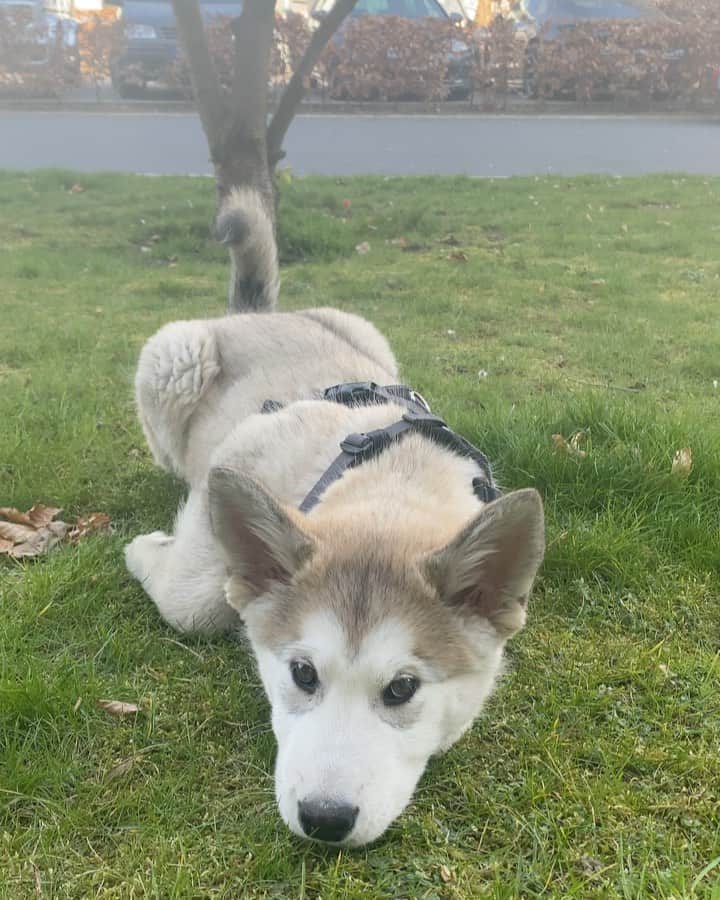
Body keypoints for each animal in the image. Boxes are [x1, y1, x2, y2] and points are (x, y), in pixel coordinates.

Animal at [125, 189, 545, 847]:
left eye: (402, 688)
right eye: (302, 673)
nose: (324, 819)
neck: (392, 484)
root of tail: (258, 314)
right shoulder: (242, 452)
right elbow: (189, 602)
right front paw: (148, 546)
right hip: (172, 355)